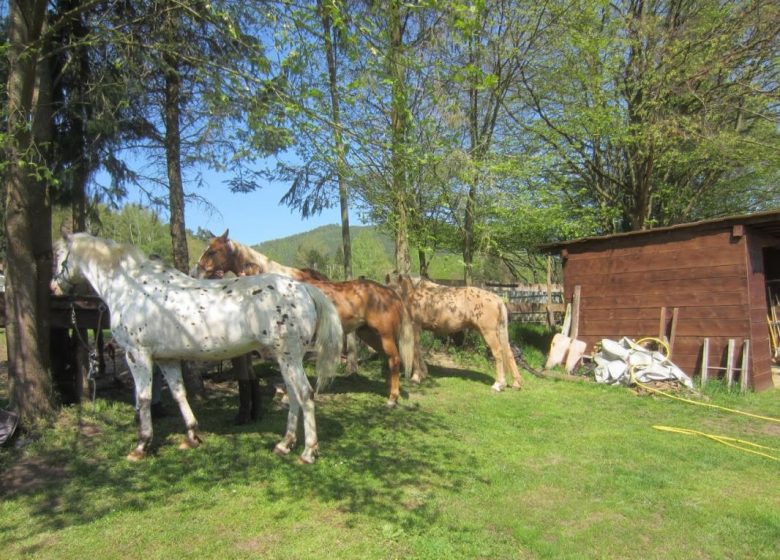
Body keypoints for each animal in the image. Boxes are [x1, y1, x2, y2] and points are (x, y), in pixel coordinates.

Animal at [194, 230, 414, 404]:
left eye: (212, 251)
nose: (196, 273)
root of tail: (389, 291)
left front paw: (286, 394)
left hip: (384, 335)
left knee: (395, 359)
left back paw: (392, 399)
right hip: (369, 335)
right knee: (391, 360)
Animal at [386, 274, 524, 392]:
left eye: (395, 294)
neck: (413, 294)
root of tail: (497, 299)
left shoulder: (416, 326)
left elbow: (415, 350)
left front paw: (416, 377)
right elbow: (418, 351)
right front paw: (423, 373)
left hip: (488, 333)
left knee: (498, 353)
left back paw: (498, 384)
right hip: (497, 332)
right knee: (508, 352)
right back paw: (516, 383)